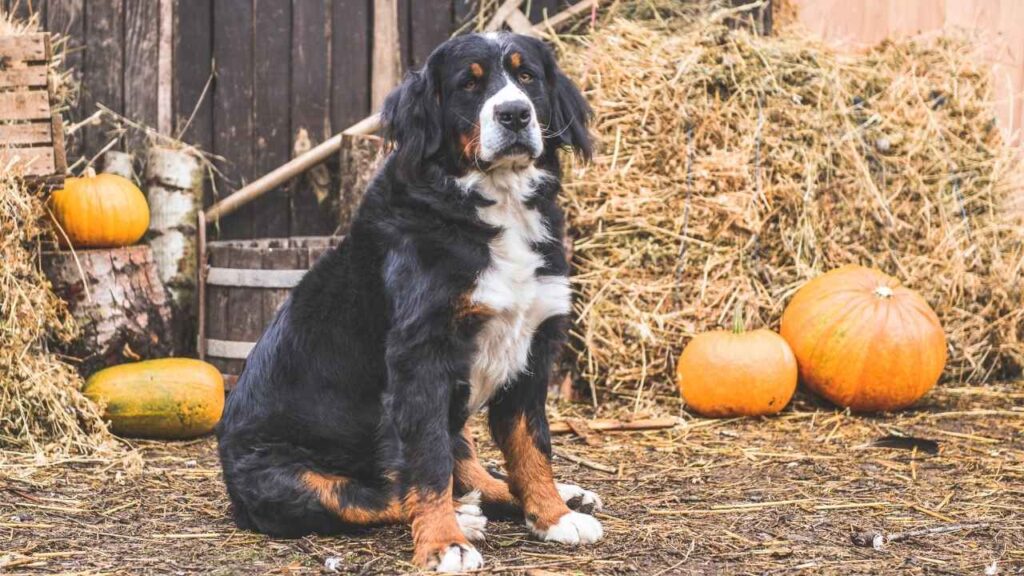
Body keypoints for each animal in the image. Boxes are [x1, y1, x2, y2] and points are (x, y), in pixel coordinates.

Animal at [216, 30, 598, 569]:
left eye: (527, 77)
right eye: (468, 84)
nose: (514, 114)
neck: (493, 205)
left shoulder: (531, 350)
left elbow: (531, 445)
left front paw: (552, 515)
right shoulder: (421, 358)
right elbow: (427, 464)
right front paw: (445, 543)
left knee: (466, 463)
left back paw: (552, 497)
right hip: (287, 476)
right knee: (368, 495)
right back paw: (466, 517)